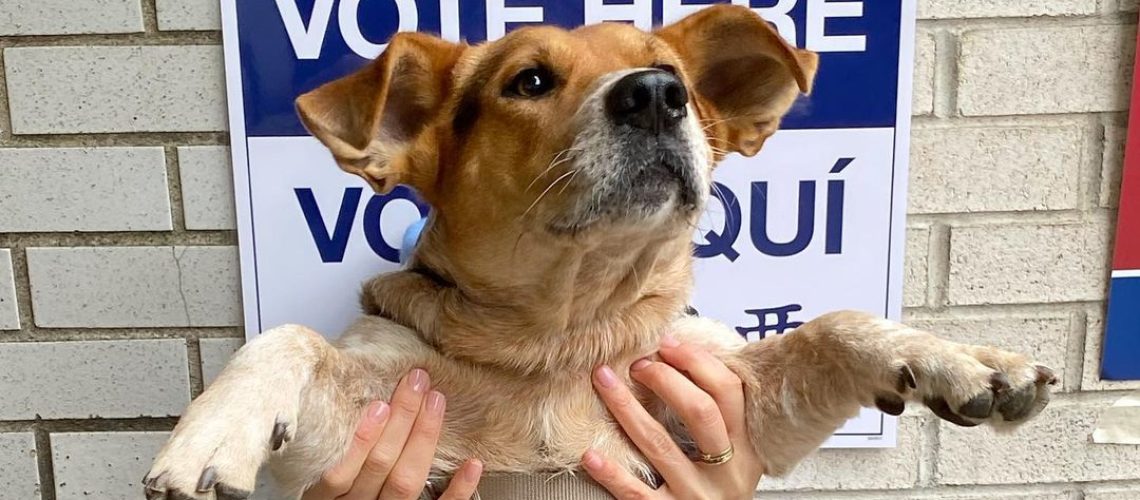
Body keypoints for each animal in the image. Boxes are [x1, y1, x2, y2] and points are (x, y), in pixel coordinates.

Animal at [147, 5, 1053, 498]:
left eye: (664, 68)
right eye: (529, 81)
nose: (658, 94)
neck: (562, 334)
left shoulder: (749, 403)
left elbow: (835, 325)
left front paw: (963, 359)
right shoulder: (354, 438)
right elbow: (289, 339)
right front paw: (209, 432)